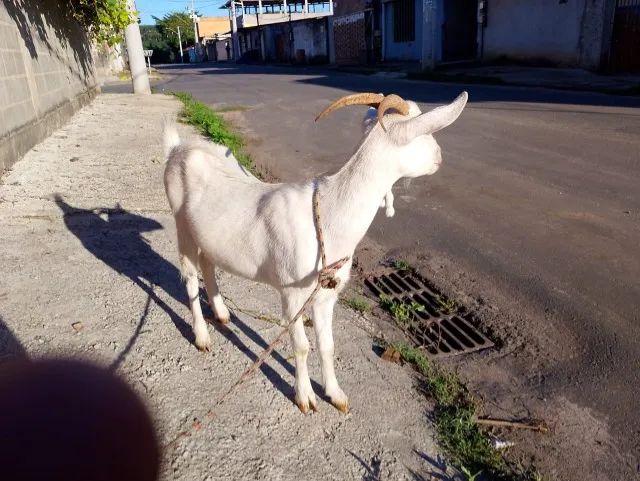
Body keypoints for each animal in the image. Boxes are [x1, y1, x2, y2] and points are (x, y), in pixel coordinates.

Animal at [163, 91, 468, 413]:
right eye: (423, 132)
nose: (439, 157)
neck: (330, 216)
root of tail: (177, 148)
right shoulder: (291, 294)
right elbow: (301, 346)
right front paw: (305, 397)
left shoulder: (326, 295)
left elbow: (327, 346)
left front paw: (335, 394)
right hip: (181, 223)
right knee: (189, 275)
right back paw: (201, 335)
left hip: (208, 235)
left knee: (207, 262)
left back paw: (221, 313)